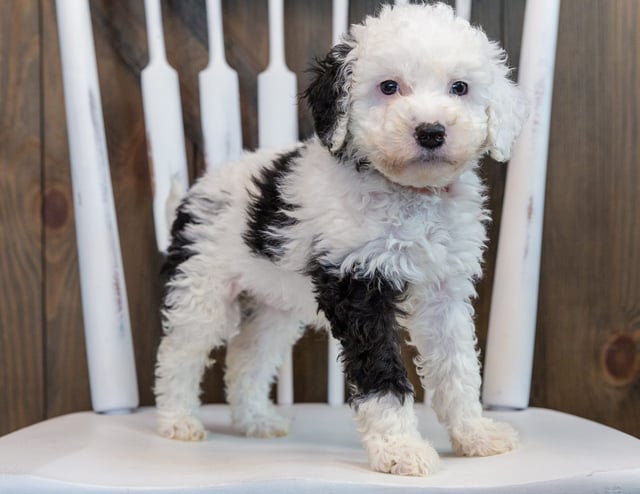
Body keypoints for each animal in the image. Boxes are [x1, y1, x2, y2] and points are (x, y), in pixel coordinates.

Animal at [154, 1, 524, 476]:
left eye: (460, 87)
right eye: (388, 87)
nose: (431, 131)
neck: (408, 195)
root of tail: (192, 195)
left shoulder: (445, 293)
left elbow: (458, 367)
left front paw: (476, 434)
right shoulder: (359, 282)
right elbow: (380, 375)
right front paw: (400, 449)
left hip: (272, 306)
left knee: (247, 356)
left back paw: (256, 420)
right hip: (203, 289)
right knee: (180, 352)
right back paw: (177, 421)